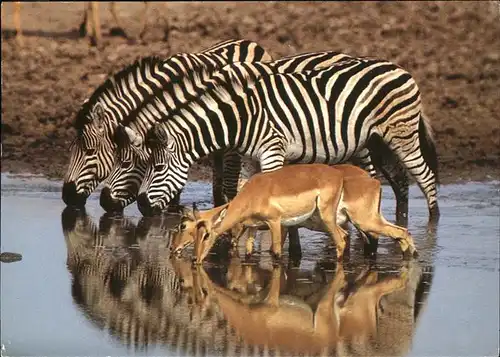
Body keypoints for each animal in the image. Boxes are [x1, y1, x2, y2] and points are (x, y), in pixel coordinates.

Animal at [138, 57, 442, 221]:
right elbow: (242, 191)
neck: (242, 118)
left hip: (402, 135)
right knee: (399, 180)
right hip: (376, 141)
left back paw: (433, 223)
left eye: (158, 168)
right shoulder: (248, 158)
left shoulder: (273, 150)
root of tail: (398, 67)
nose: (141, 206)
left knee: (425, 176)